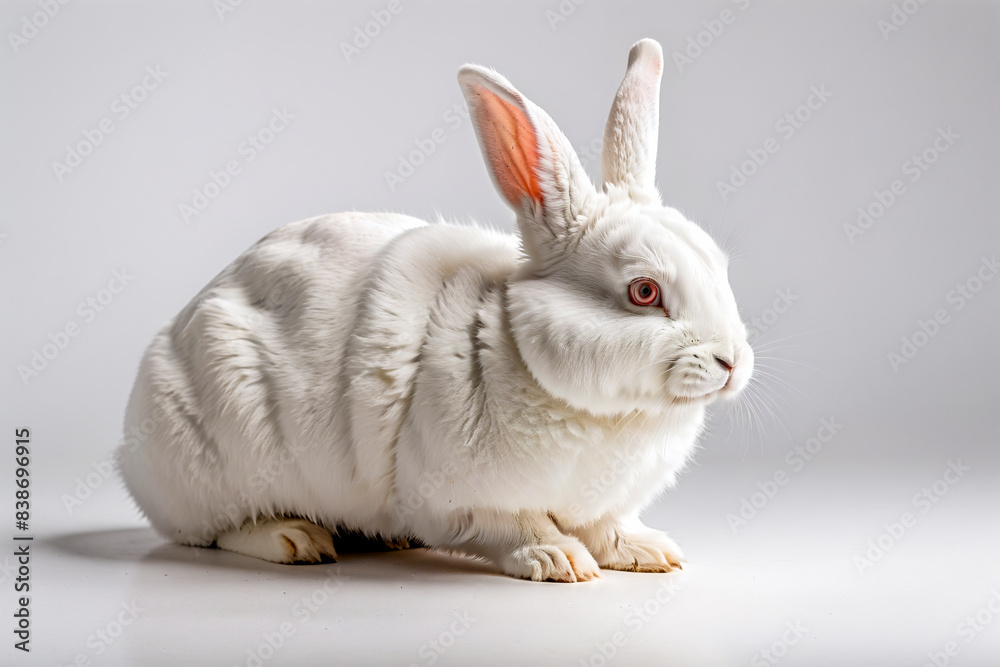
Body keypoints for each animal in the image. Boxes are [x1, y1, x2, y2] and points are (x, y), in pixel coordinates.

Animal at [117, 38, 753, 582]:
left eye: (721, 268)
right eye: (644, 292)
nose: (732, 363)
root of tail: (130, 450)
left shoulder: (601, 506)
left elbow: (609, 528)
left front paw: (651, 552)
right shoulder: (463, 498)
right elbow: (515, 527)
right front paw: (558, 560)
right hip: (220, 462)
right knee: (213, 531)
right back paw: (295, 540)